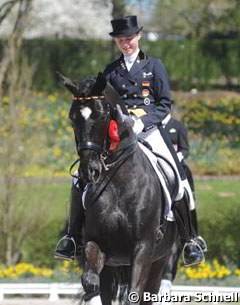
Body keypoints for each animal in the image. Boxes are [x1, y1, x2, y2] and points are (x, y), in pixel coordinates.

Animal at [59, 73, 177, 304]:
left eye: (102, 115)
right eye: (72, 118)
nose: (89, 171)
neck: (119, 183)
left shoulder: (144, 248)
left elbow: (134, 293)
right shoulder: (96, 244)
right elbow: (90, 282)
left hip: (159, 261)